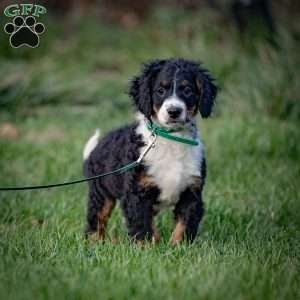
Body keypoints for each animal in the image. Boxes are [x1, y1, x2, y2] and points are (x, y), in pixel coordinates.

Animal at [83, 58, 217, 244]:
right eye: (160, 91)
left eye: (188, 90)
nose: (174, 111)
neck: (171, 140)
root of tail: (94, 151)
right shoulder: (137, 192)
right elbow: (142, 226)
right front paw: (147, 247)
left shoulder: (192, 191)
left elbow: (184, 225)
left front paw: (178, 247)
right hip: (101, 191)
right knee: (96, 218)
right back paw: (95, 243)